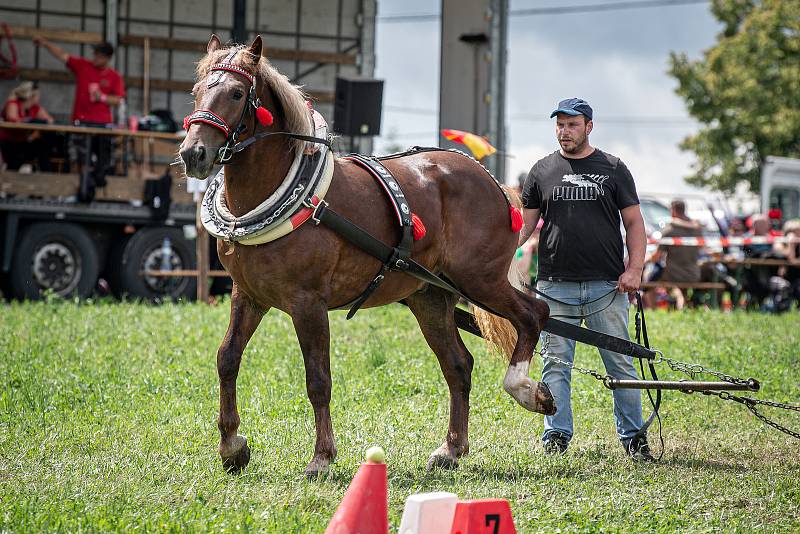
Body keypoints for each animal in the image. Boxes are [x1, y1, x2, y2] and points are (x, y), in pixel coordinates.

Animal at [180, 35, 552, 480]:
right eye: (196, 91)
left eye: (237, 94)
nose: (193, 154)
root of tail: (492, 180)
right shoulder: (247, 294)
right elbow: (227, 359)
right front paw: (232, 446)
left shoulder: (307, 303)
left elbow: (318, 378)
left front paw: (322, 457)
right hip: (429, 296)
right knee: (458, 365)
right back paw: (451, 448)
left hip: (480, 279)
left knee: (534, 314)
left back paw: (526, 390)